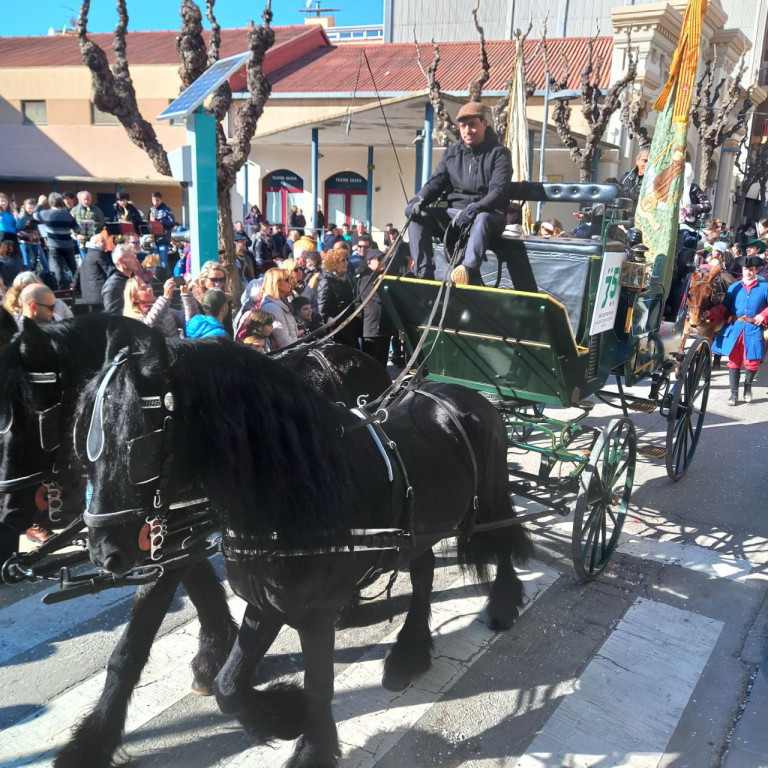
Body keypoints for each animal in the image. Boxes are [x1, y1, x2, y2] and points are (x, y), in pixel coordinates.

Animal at [1, 314, 390, 768]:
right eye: (83, 434)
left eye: (35, 417)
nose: (9, 513)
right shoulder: (167, 536)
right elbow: (174, 605)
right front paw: (212, 655)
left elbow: (137, 640)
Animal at [79, 332, 536, 768]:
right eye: (82, 443)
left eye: (137, 441)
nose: (103, 552)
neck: (297, 493)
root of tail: (466, 394)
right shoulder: (266, 603)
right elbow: (229, 687)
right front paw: (283, 714)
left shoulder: (314, 614)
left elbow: (319, 684)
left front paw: (313, 748)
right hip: (421, 529)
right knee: (423, 574)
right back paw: (410, 652)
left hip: (492, 495)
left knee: (505, 542)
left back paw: (502, 604)